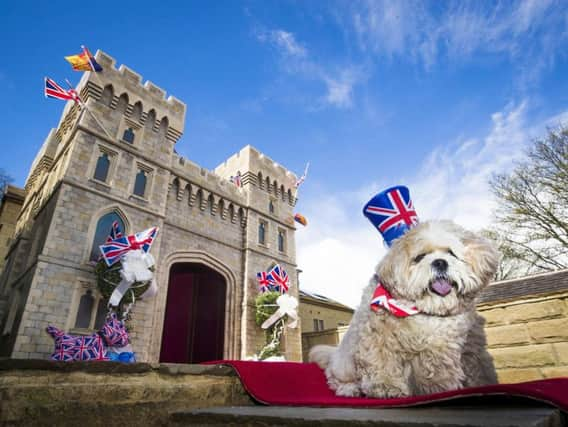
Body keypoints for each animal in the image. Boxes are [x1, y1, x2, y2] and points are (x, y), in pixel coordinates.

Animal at [308, 222, 500, 400]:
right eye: (420, 257)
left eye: (450, 253)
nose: (440, 262)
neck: (420, 311)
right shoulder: (378, 339)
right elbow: (382, 365)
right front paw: (387, 388)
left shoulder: (441, 348)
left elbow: (438, 372)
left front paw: (439, 389)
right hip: (345, 364)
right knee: (336, 379)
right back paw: (350, 389)